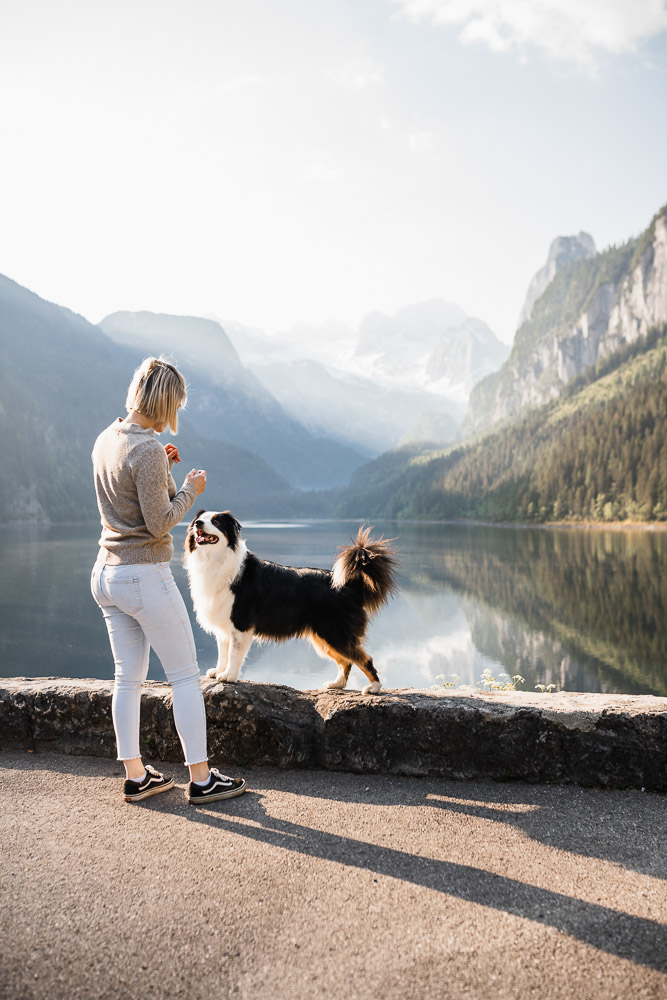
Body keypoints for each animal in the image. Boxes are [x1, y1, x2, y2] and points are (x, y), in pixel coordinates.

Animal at [184, 512, 396, 692]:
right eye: (200, 519)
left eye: (216, 521)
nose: (197, 523)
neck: (217, 559)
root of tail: (349, 585)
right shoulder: (223, 622)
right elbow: (223, 651)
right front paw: (218, 671)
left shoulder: (240, 623)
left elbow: (234, 654)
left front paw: (229, 675)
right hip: (323, 636)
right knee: (346, 661)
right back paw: (337, 684)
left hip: (335, 633)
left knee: (364, 658)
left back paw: (374, 687)